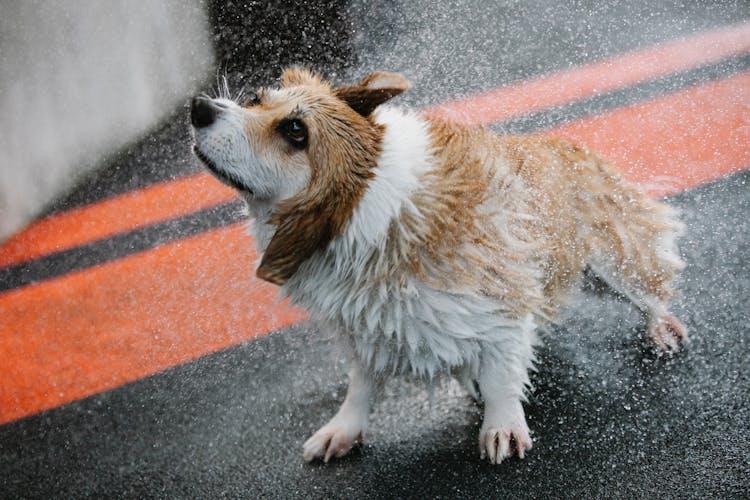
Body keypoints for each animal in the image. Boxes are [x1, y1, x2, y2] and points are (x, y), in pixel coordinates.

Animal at [191, 66, 692, 464]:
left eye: (296, 131)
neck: (364, 212)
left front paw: (501, 425)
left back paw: (662, 327)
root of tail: (572, 145)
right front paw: (342, 430)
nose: (199, 107)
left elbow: (502, 370)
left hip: (610, 264)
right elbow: (361, 384)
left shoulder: (501, 293)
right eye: (256, 99)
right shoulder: (366, 326)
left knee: (651, 287)